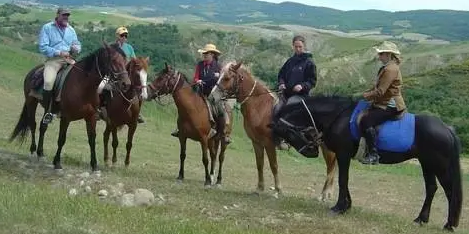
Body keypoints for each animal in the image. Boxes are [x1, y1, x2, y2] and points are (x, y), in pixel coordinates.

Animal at [9, 41, 130, 172]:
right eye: (114, 60)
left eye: (125, 61)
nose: (126, 84)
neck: (83, 86)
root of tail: (33, 71)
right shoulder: (66, 117)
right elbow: (62, 139)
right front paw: (57, 162)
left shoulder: (91, 117)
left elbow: (92, 139)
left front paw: (94, 165)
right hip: (31, 103)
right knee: (33, 124)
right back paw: (32, 150)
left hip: (47, 109)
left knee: (43, 126)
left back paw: (40, 153)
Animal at [214, 61, 338, 200]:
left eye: (226, 78)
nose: (213, 96)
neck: (260, 106)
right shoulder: (256, 142)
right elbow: (260, 164)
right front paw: (259, 188)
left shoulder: (269, 144)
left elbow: (274, 166)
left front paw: (278, 190)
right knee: (332, 167)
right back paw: (326, 194)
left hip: (327, 147)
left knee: (331, 167)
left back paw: (324, 195)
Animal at [268, 93, 462, 232]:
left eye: (287, 132)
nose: (310, 152)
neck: (338, 116)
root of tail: (446, 128)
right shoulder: (344, 156)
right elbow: (344, 181)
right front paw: (347, 206)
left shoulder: (343, 154)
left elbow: (342, 180)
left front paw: (339, 207)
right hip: (427, 164)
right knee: (431, 188)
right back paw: (421, 219)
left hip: (439, 166)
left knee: (449, 191)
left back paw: (449, 224)